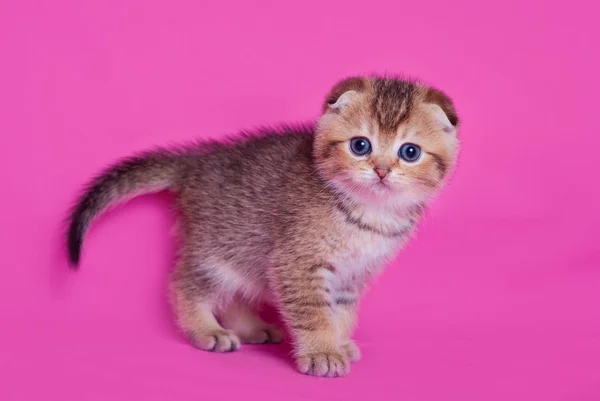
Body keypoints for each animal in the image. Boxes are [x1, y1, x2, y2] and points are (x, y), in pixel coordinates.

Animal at [67, 76, 460, 378]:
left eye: (410, 152)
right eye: (360, 145)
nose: (381, 170)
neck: (369, 213)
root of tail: (198, 161)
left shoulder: (353, 274)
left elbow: (343, 313)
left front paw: (340, 341)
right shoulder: (296, 261)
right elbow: (314, 312)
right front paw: (322, 352)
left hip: (247, 248)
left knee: (238, 292)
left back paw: (251, 327)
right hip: (218, 246)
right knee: (185, 284)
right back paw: (206, 329)